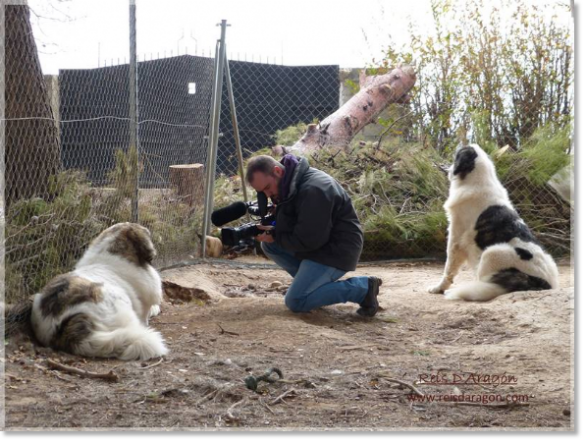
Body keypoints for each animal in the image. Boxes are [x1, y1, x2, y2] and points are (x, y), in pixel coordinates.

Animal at [426, 144, 560, 300]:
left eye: (457, 155)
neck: (477, 179)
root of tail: (544, 284)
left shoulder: (455, 238)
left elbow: (449, 268)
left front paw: (438, 288)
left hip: (491, 252)